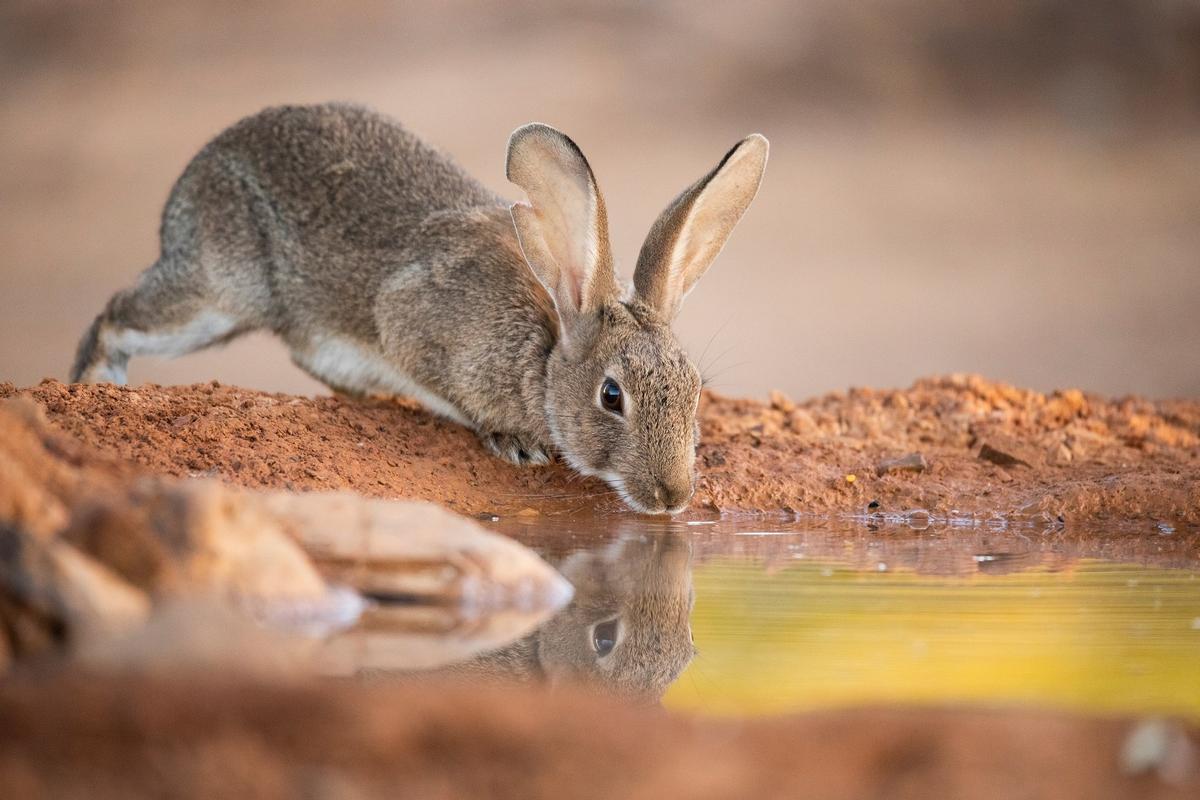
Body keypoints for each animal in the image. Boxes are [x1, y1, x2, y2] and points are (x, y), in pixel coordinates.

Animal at [70, 103, 769, 514]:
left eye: (696, 389)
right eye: (611, 396)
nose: (673, 495)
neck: (544, 355)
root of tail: (199, 166)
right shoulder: (409, 320)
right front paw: (516, 444)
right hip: (218, 294)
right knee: (114, 319)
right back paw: (94, 386)